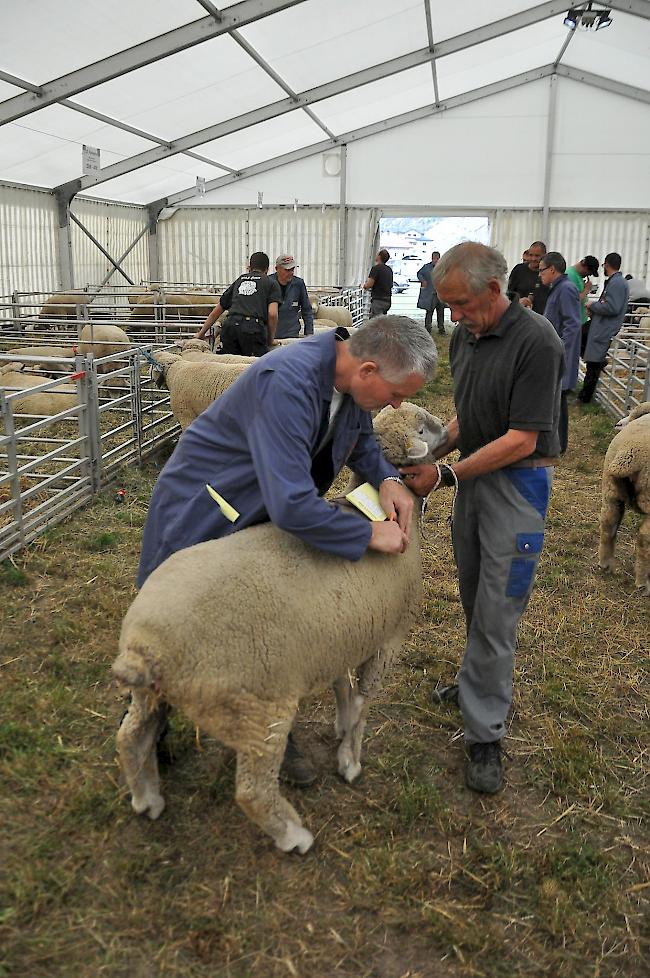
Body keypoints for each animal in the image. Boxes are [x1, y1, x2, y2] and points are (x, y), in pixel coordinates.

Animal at [111, 400, 446, 852]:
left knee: (130, 737)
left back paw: (147, 798)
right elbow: (364, 703)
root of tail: (144, 649)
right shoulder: (387, 640)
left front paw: (341, 724)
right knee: (252, 790)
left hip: (153, 694)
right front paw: (350, 759)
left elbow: (342, 687)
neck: (378, 510)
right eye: (424, 429)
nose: (446, 424)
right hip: (257, 711)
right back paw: (293, 836)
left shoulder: (339, 635)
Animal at [596, 398, 648, 596]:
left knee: (608, 523)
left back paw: (605, 564)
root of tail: (629, 453)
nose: (618, 424)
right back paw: (643, 584)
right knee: (644, 540)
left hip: (610, 489)